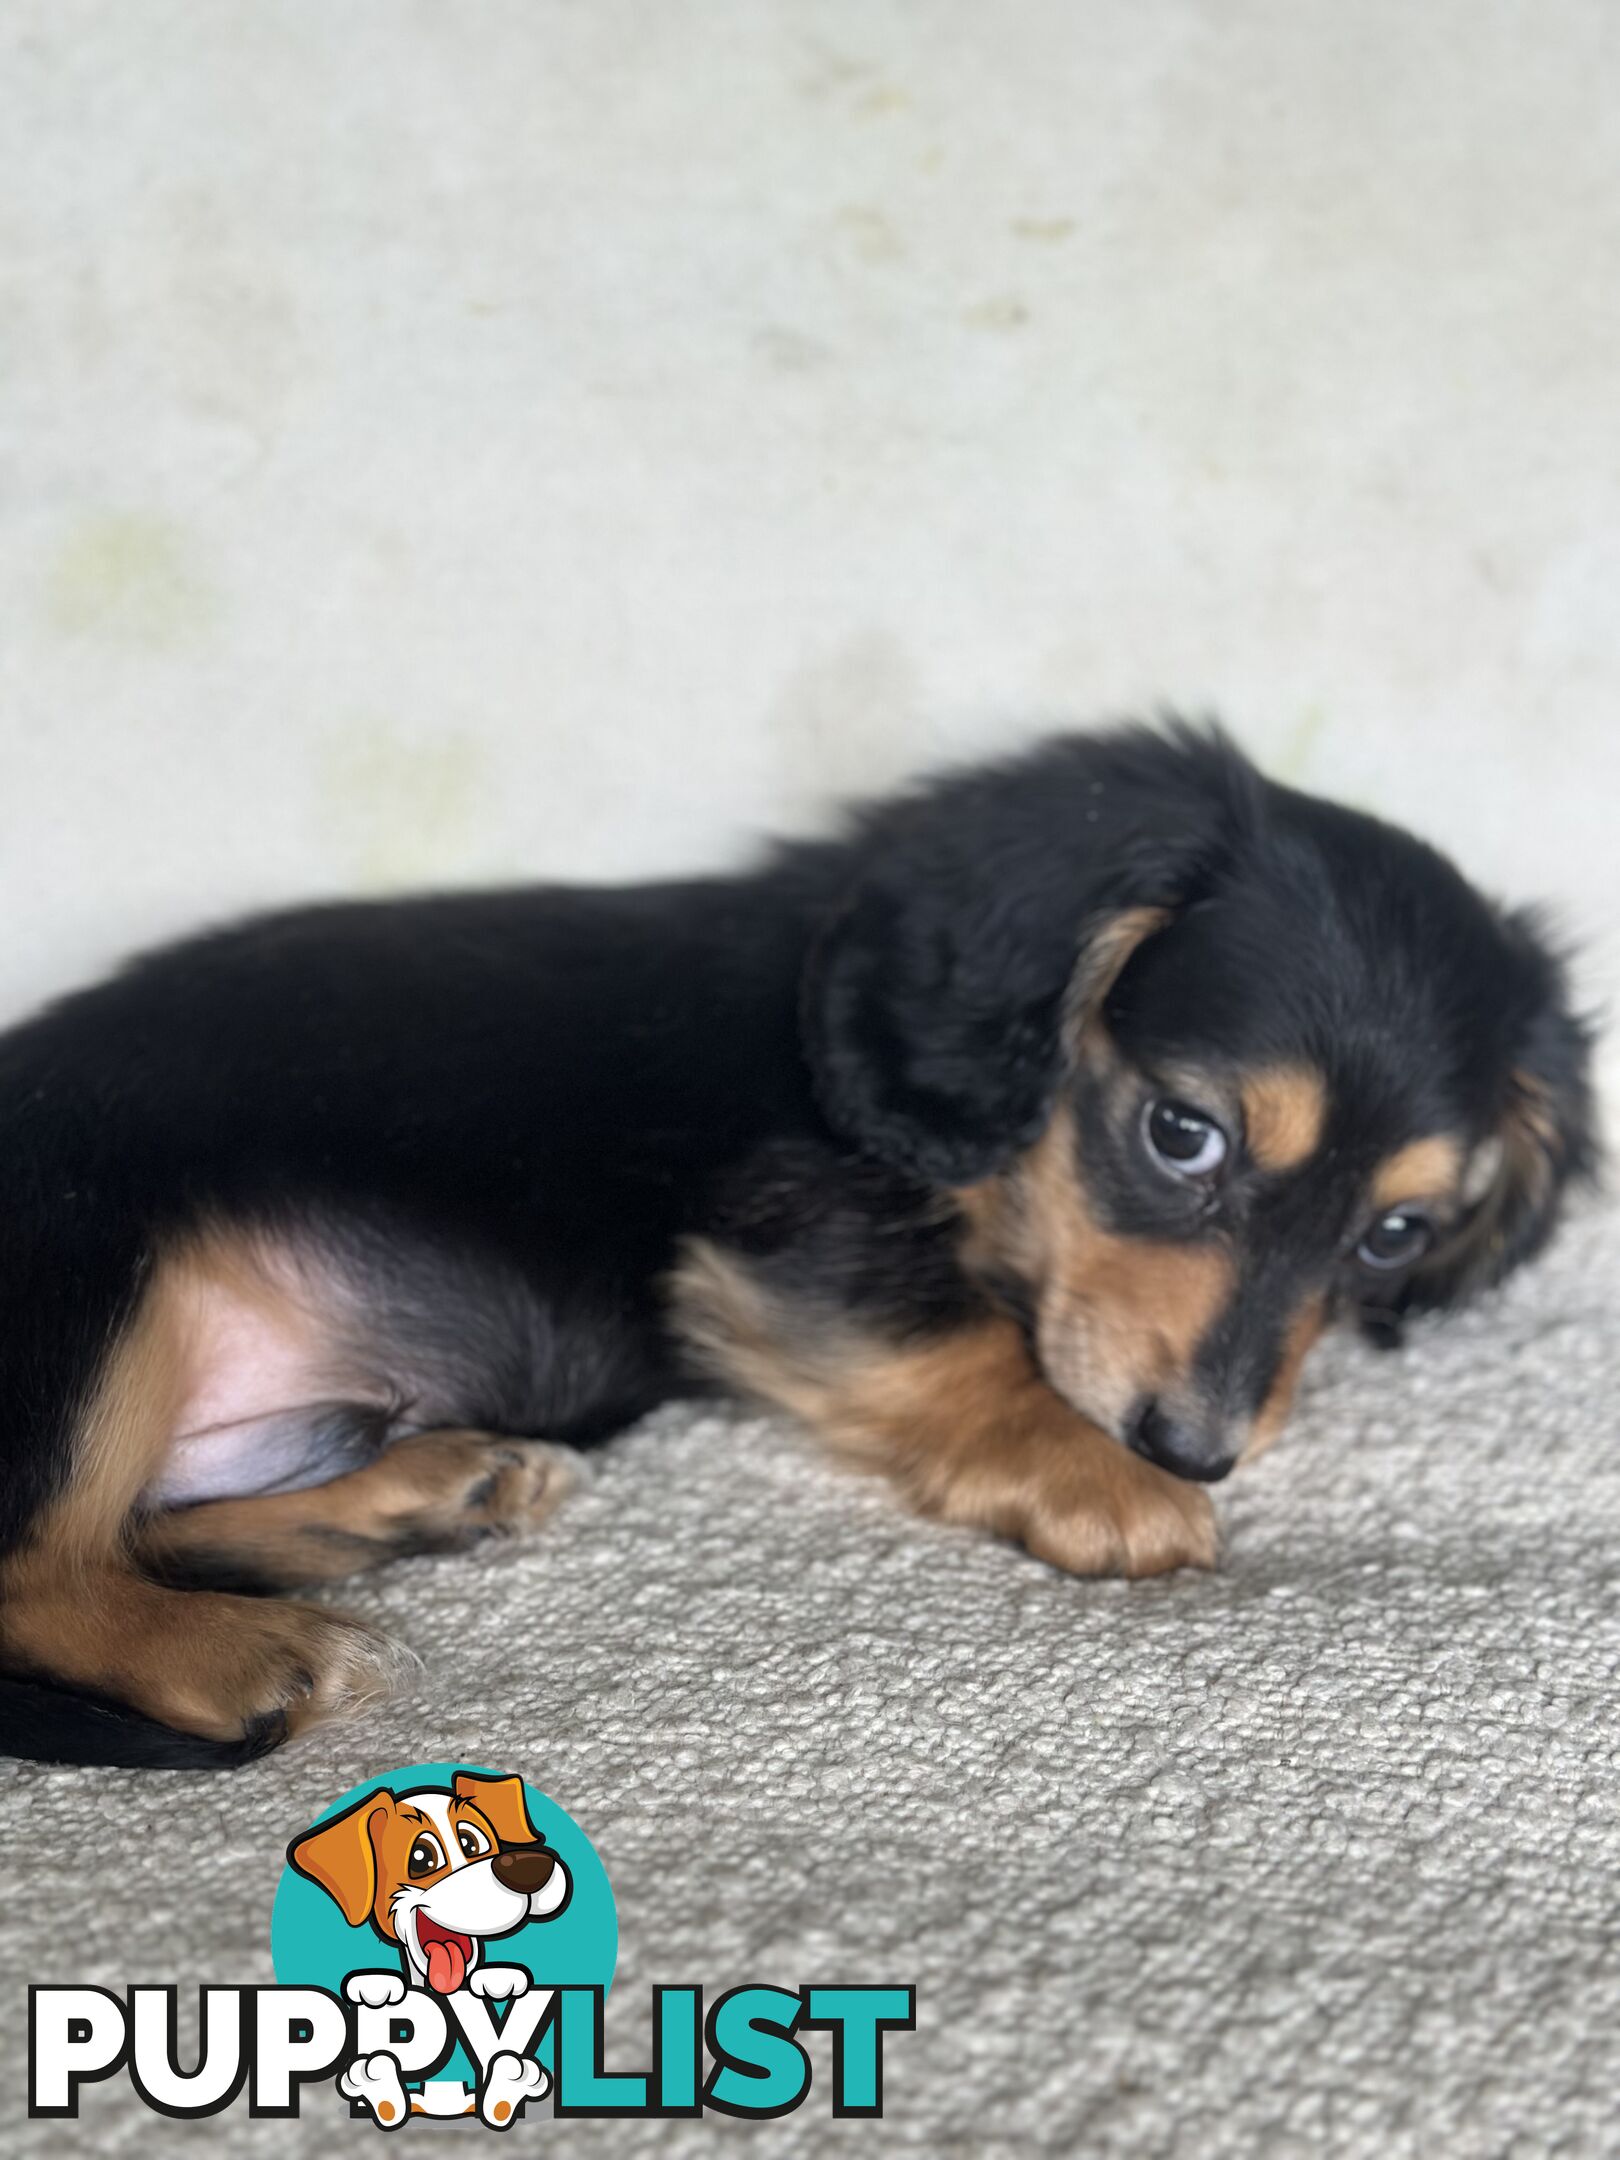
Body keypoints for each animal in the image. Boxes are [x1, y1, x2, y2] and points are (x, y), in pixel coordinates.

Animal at [0, 725, 1598, 1771]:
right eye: (1181, 1134)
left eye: (1395, 1232)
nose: (1197, 1446)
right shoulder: (789, 1225)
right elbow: (953, 1331)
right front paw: (1102, 1478)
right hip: (91, 1267)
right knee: (36, 1565)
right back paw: (245, 1651)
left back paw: (418, 1496)